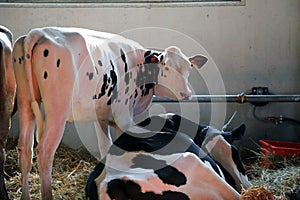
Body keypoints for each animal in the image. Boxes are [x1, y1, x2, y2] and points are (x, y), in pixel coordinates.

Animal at [12, 27, 209, 200]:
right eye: (166, 68)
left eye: (189, 68)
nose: (186, 93)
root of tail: (37, 33)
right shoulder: (124, 116)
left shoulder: (102, 116)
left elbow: (105, 147)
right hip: (57, 110)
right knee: (45, 150)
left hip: (24, 102)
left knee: (25, 148)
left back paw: (25, 196)